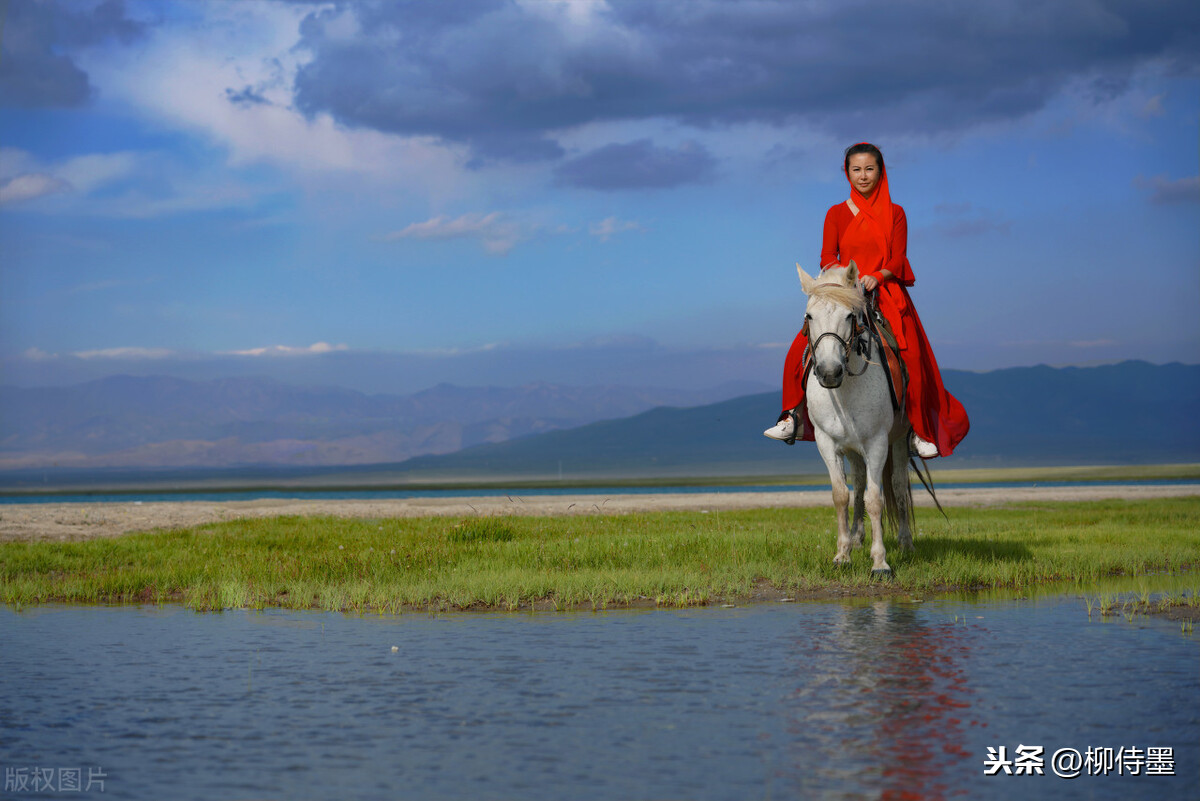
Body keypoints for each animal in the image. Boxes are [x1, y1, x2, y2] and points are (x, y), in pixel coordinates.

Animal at [796, 262, 907, 575]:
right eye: (809, 316)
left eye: (849, 315)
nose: (829, 372)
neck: (845, 391)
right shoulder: (827, 443)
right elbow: (841, 495)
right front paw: (842, 554)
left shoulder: (877, 443)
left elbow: (875, 498)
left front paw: (880, 562)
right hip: (854, 450)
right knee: (857, 484)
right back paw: (857, 539)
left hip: (899, 441)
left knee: (898, 485)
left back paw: (905, 542)